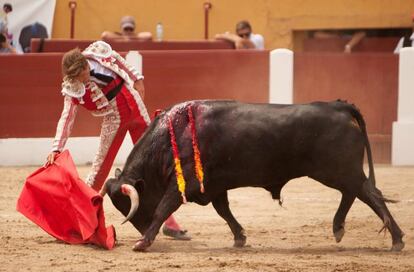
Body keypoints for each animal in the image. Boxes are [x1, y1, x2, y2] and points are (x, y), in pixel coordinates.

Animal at [100, 100, 404, 251]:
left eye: (131, 207)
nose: (141, 231)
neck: (173, 135)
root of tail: (339, 106)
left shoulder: (182, 184)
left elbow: (163, 207)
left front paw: (143, 243)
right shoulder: (214, 186)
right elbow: (224, 211)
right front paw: (240, 238)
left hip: (340, 170)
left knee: (370, 194)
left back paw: (397, 240)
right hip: (339, 172)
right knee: (355, 194)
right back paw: (340, 228)